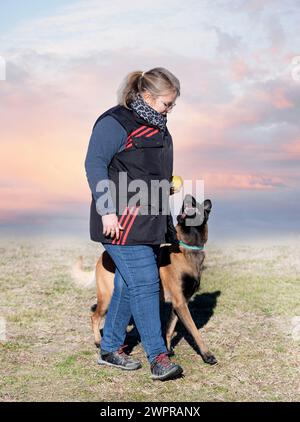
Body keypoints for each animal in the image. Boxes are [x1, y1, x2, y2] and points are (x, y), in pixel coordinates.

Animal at [74, 196, 217, 364]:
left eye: (198, 204)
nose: (188, 197)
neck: (188, 247)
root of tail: (102, 256)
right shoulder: (180, 302)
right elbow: (195, 331)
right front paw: (207, 354)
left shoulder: (180, 303)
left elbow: (169, 328)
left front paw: (168, 349)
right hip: (107, 297)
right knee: (94, 317)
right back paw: (98, 341)